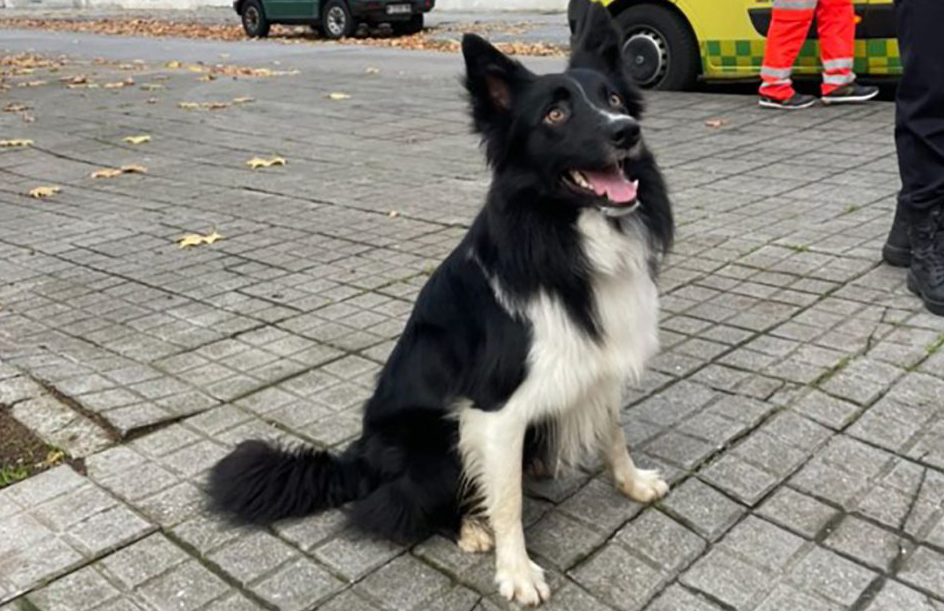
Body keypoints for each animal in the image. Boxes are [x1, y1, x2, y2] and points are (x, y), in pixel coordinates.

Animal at [211, 1, 676, 608]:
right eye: (555, 115)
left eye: (616, 100)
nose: (627, 133)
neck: (564, 234)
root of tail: (358, 459)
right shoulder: (494, 410)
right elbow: (507, 502)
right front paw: (516, 570)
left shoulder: (595, 362)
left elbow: (613, 433)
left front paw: (633, 482)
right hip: (434, 442)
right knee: (395, 508)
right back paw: (470, 526)